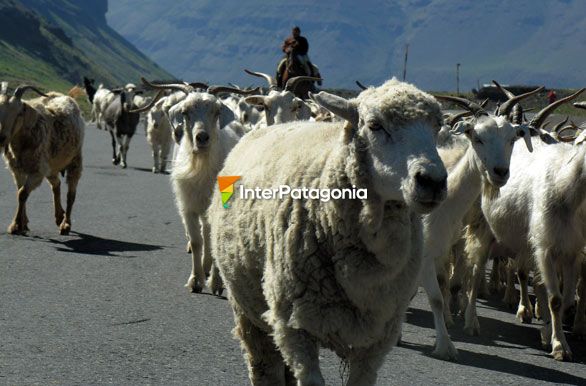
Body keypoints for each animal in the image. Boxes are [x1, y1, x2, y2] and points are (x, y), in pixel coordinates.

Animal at [0, 85, 85, 235]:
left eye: (19, 113)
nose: (1, 137)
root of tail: (69, 97)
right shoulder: (17, 170)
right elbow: (20, 191)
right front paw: (22, 223)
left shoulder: (37, 171)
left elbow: (22, 193)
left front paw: (16, 224)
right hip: (51, 166)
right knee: (56, 185)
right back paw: (59, 216)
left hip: (75, 159)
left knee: (71, 194)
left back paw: (65, 224)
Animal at [141, 77, 244, 292]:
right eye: (185, 112)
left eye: (216, 111)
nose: (202, 137)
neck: (201, 166)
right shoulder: (188, 206)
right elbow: (197, 241)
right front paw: (196, 280)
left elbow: (212, 240)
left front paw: (215, 282)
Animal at [208, 77, 444, 384]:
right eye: (374, 125)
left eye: (438, 126)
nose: (434, 181)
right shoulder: (295, 325)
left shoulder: (379, 336)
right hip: (247, 305)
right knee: (262, 364)